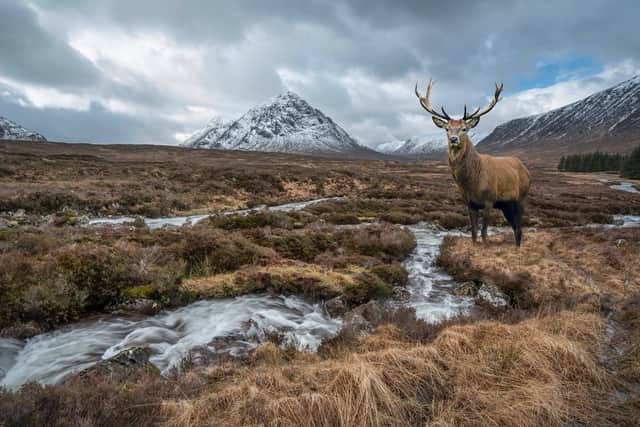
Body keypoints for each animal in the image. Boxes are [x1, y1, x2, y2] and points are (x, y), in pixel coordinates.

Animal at [415, 79, 530, 247]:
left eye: (464, 128)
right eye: (447, 129)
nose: (453, 139)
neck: (471, 183)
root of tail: (526, 170)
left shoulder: (489, 200)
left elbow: (484, 233)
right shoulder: (469, 204)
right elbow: (474, 233)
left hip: (521, 197)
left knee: (519, 227)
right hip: (506, 205)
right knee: (515, 227)